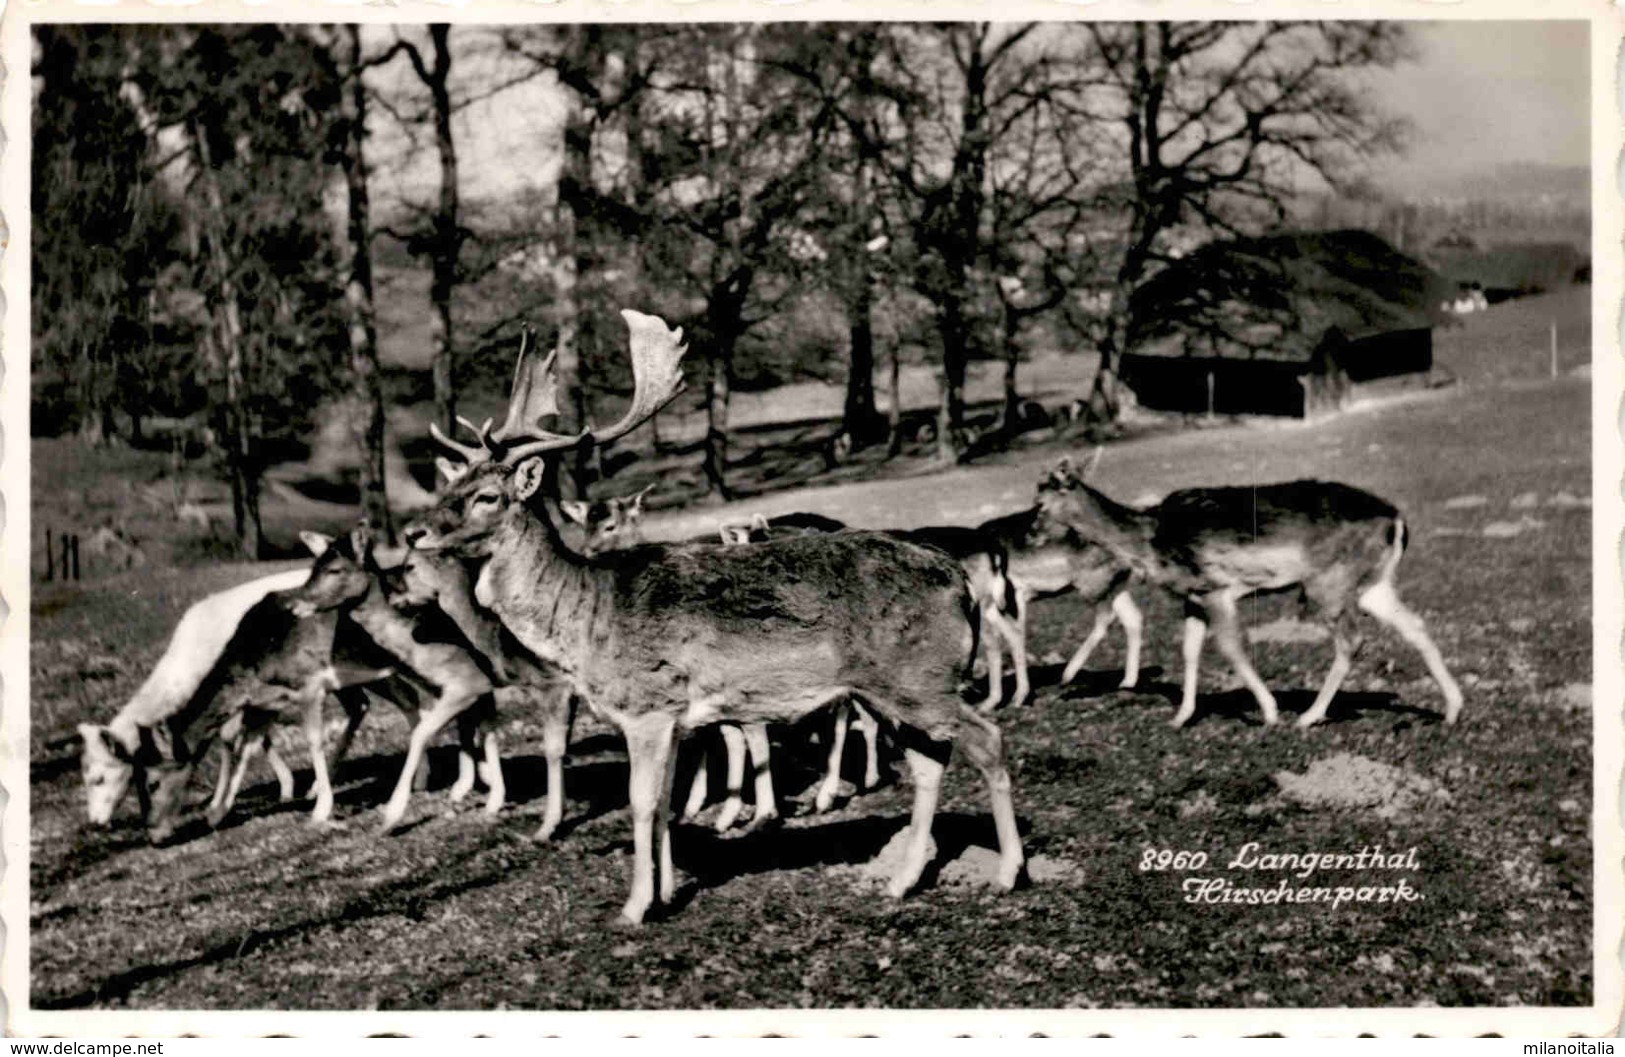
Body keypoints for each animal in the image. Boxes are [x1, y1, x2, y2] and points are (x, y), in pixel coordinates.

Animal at [1033, 448, 1469, 728]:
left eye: (1039, 501)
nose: (1032, 533)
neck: (1151, 540)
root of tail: (1398, 520)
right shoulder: (1193, 596)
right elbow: (1189, 649)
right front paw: (1180, 717)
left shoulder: (1218, 588)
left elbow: (1231, 648)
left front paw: (1270, 712)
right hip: (1373, 583)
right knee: (1414, 625)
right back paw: (1452, 709)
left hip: (1328, 582)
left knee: (1352, 639)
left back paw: (1308, 717)